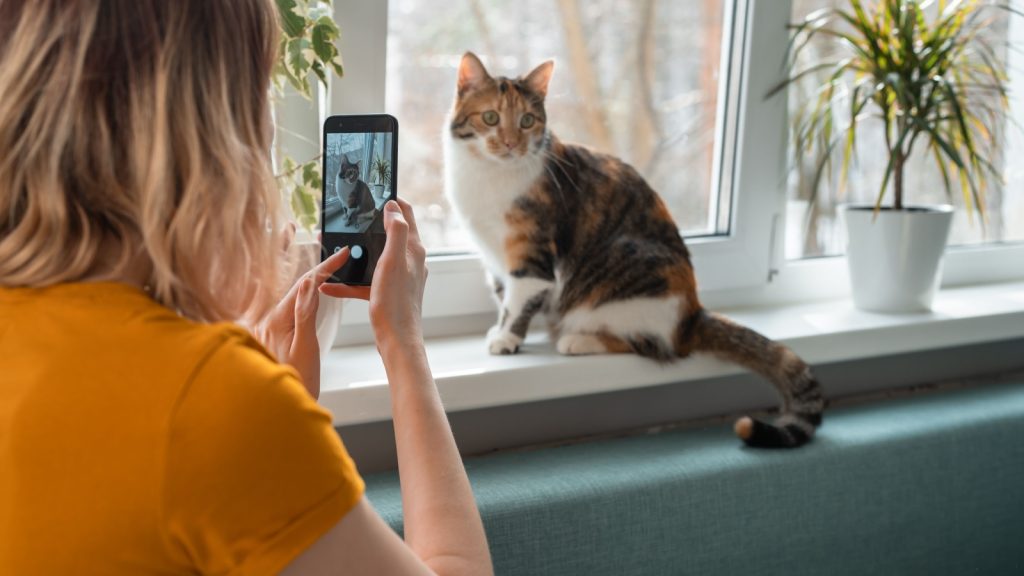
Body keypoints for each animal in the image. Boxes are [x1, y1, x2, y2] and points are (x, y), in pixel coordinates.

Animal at [440, 51, 823, 446]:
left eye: (527, 121)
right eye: (490, 117)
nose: (511, 143)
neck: (487, 175)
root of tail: (693, 314)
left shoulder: (530, 253)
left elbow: (518, 301)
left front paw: (507, 339)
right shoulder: (494, 258)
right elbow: (504, 296)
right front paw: (500, 330)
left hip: (623, 278)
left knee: (654, 345)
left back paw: (578, 340)